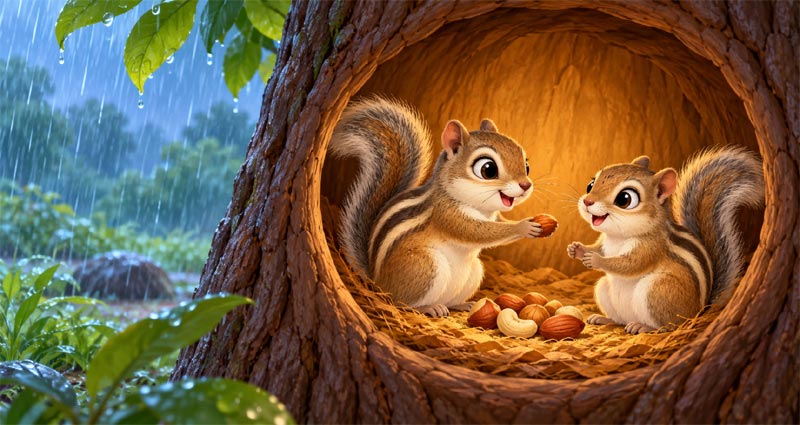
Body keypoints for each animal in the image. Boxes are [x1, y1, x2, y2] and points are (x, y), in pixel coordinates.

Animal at [329, 97, 544, 317]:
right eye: (488, 169)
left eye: (527, 165)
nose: (526, 185)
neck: (479, 207)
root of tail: (377, 282)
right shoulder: (446, 215)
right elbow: (477, 232)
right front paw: (524, 226)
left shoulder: (492, 215)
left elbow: (498, 222)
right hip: (425, 266)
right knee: (401, 302)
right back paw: (428, 307)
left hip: (473, 272)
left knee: (449, 300)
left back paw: (463, 305)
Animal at [567, 147, 764, 334]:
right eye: (590, 184)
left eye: (625, 199)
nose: (587, 201)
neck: (619, 237)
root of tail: (698, 311)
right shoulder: (605, 243)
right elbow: (597, 248)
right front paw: (576, 249)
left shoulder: (651, 248)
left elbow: (630, 265)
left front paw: (595, 260)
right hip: (604, 289)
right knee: (620, 319)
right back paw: (604, 319)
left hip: (657, 291)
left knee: (669, 325)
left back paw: (643, 327)